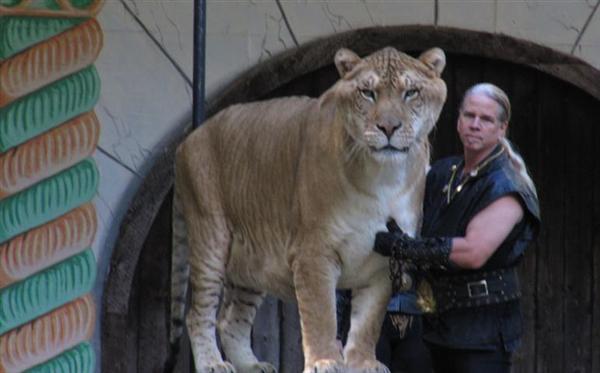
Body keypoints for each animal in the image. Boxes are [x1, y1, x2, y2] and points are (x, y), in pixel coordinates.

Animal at [171, 45, 448, 370]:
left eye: (411, 92)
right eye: (368, 93)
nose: (388, 127)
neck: (384, 176)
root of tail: (188, 138)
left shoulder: (384, 260)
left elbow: (368, 322)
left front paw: (363, 363)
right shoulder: (313, 253)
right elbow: (321, 314)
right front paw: (325, 362)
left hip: (251, 261)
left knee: (230, 320)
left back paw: (252, 366)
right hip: (210, 239)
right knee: (197, 314)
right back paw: (212, 364)